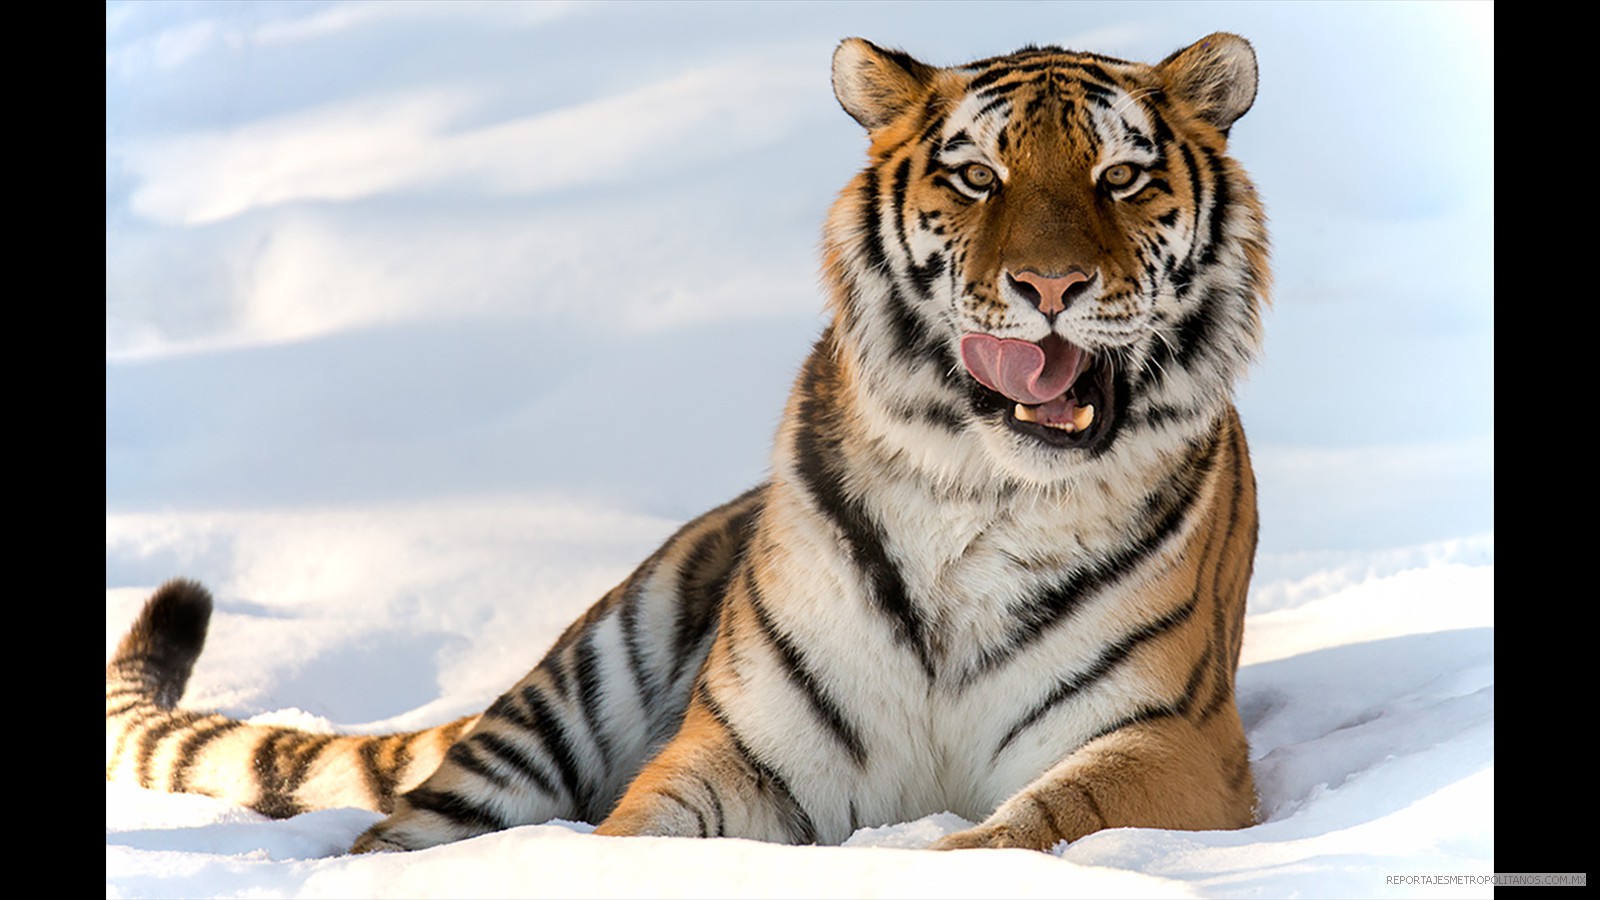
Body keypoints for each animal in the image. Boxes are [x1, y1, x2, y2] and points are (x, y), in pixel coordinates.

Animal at [106, 31, 1267, 851]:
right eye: (976, 177)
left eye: (1120, 178)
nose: (1049, 286)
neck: (982, 492)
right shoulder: (748, 752)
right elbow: (635, 837)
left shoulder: (1163, 735)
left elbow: (1030, 828)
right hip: (569, 692)